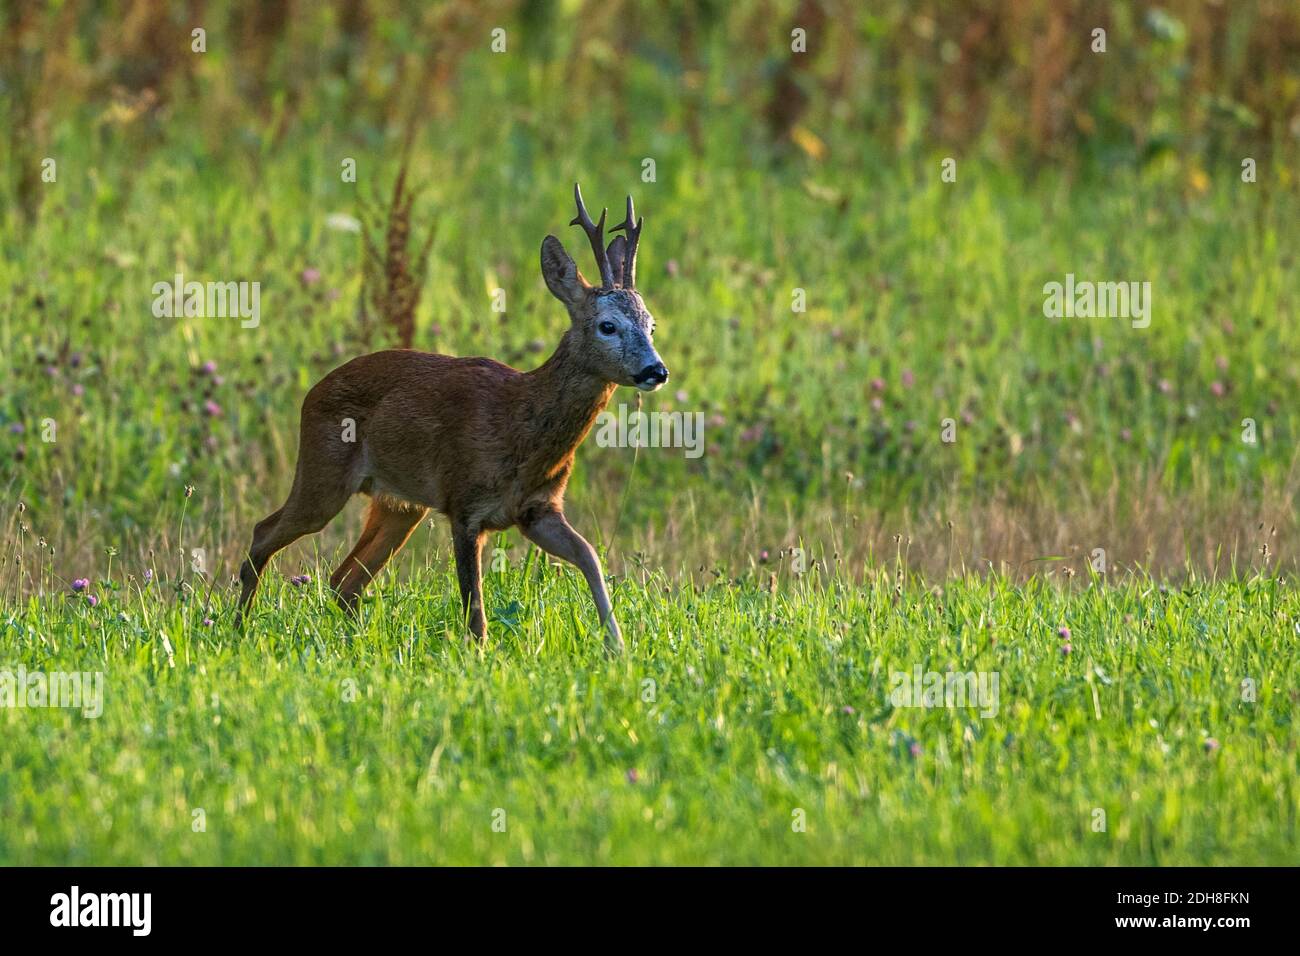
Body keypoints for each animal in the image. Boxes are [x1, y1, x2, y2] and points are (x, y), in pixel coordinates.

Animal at [231, 184, 670, 655]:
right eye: (608, 325)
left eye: (651, 325)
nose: (656, 370)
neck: (522, 423)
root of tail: (312, 392)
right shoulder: (464, 503)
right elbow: (474, 609)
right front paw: (481, 657)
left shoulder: (538, 509)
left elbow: (589, 554)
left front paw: (617, 645)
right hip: (323, 474)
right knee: (264, 533)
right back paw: (238, 628)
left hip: (400, 506)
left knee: (344, 580)